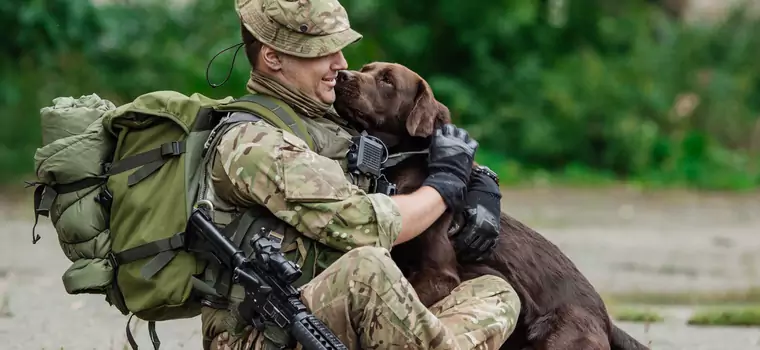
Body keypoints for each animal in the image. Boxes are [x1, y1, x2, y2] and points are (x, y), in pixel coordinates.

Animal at [332, 63, 648, 350]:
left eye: (387, 80)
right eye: (365, 69)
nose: (342, 75)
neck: (402, 165)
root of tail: (606, 320)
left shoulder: (440, 275)